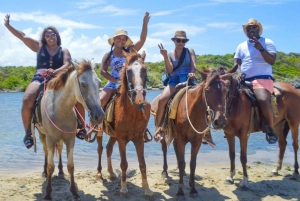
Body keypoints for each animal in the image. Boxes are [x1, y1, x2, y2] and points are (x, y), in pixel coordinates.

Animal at [31, 59, 104, 200]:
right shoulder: (50, 139)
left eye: (99, 83)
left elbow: (71, 166)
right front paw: (48, 193)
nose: (99, 116)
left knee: (59, 150)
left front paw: (74, 192)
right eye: (83, 84)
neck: (61, 109)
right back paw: (44, 171)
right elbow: (50, 167)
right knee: (46, 152)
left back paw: (60, 170)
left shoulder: (70, 139)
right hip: (42, 135)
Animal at [95, 49, 154, 198]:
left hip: (113, 135)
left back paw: (111, 173)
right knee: (100, 149)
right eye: (128, 71)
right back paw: (99, 173)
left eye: (145, 69)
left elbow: (142, 164)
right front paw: (123, 188)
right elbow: (123, 164)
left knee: (108, 148)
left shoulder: (139, 138)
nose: (139, 96)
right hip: (99, 131)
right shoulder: (122, 139)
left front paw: (147, 189)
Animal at [152, 68, 234, 199]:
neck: (191, 111)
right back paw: (165, 172)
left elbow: (192, 163)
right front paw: (180, 191)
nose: (220, 121)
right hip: (165, 133)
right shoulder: (181, 138)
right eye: (207, 91)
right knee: (164, 149)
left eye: (226, 91)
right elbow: (181, 163)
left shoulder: (197, 140)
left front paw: (193, 188)